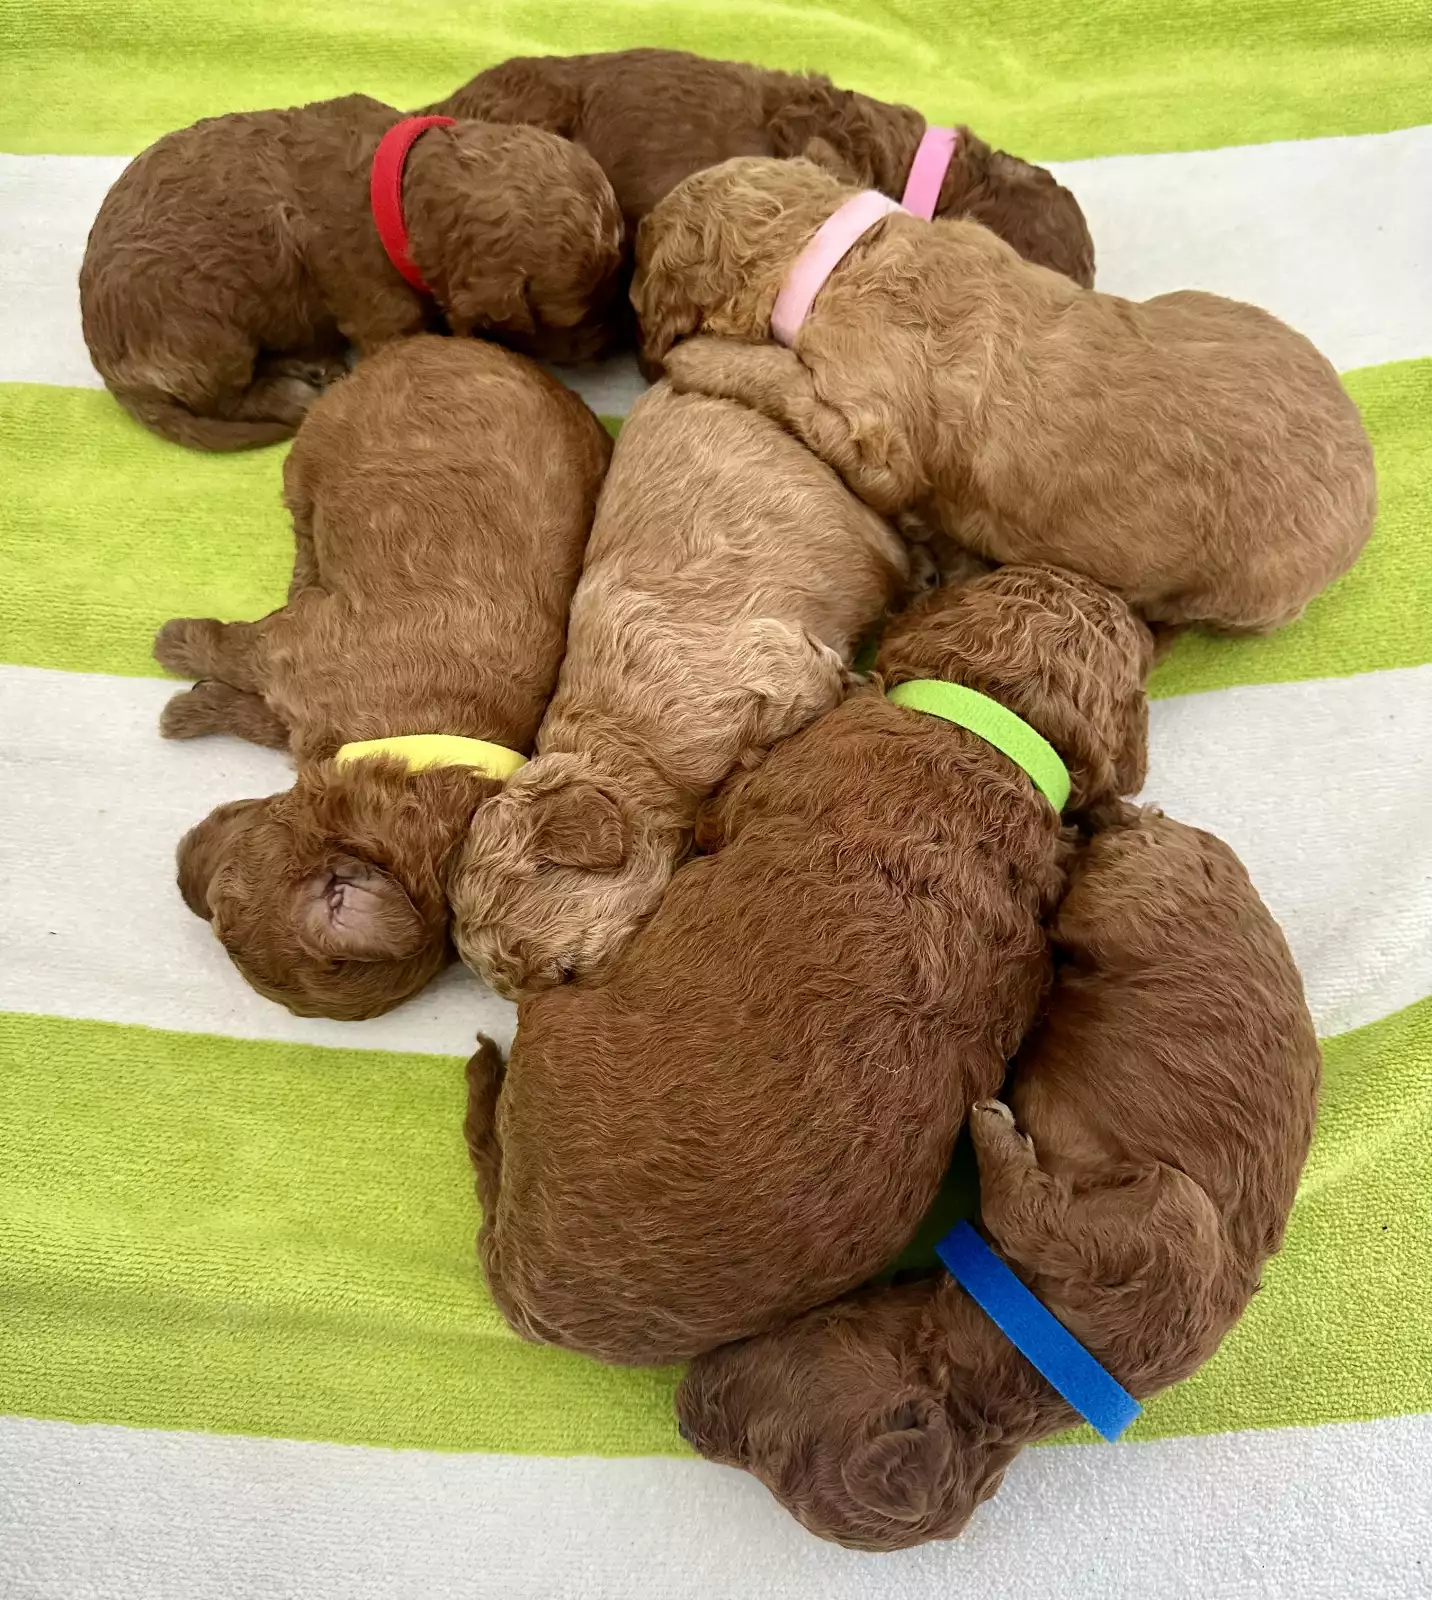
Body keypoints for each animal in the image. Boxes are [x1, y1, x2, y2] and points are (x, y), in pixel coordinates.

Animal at [80, 95, 624, 450]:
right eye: (576, 317)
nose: (610, 343)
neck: (402, 191)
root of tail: (110, 370)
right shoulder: (379, 311)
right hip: (208, 333)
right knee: (230, 399)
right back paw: (294, 391)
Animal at [158, 336, 610, 1019]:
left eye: (221, 928)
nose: (179, 868)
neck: (415, 744)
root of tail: (442, 341)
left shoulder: (297, 689)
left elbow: (251, 701)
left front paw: (190, 701)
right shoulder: (291, 643)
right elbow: (231, 645)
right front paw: (177, 650)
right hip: (318, 447)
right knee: (302, 518)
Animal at [634, 156, 1376, 635]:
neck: (837, 255)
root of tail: (1369, 499)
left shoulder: (872, 431)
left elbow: (782, 381)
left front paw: (695, 356)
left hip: (1239, 589)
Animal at [676, 805, 1321, 1551]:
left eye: (766, 1456)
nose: (681, 1422)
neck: (1035, 1347)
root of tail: (1180, 833)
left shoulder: (1169, 1233)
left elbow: (1034, 1211)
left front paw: (990, 1126)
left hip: (1130, 902)